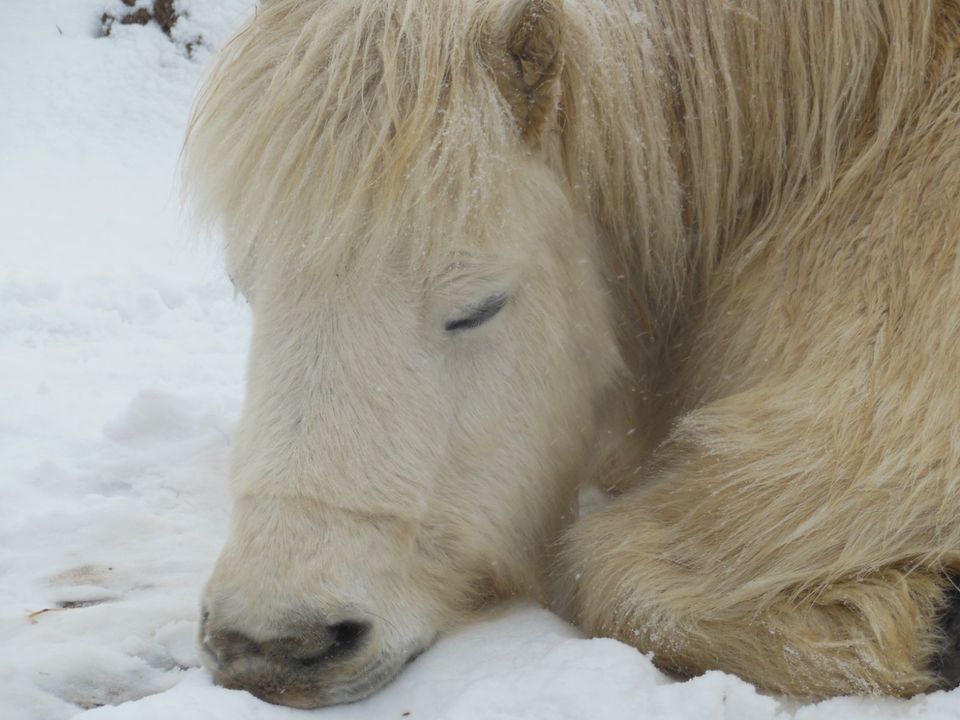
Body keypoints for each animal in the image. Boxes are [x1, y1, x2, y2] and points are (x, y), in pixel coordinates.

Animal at [184, 0, 960, 708]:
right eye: (246, 284)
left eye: (479, 306)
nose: (275, 642)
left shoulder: (867, 443)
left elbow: (607, 571)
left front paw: (934, 624)